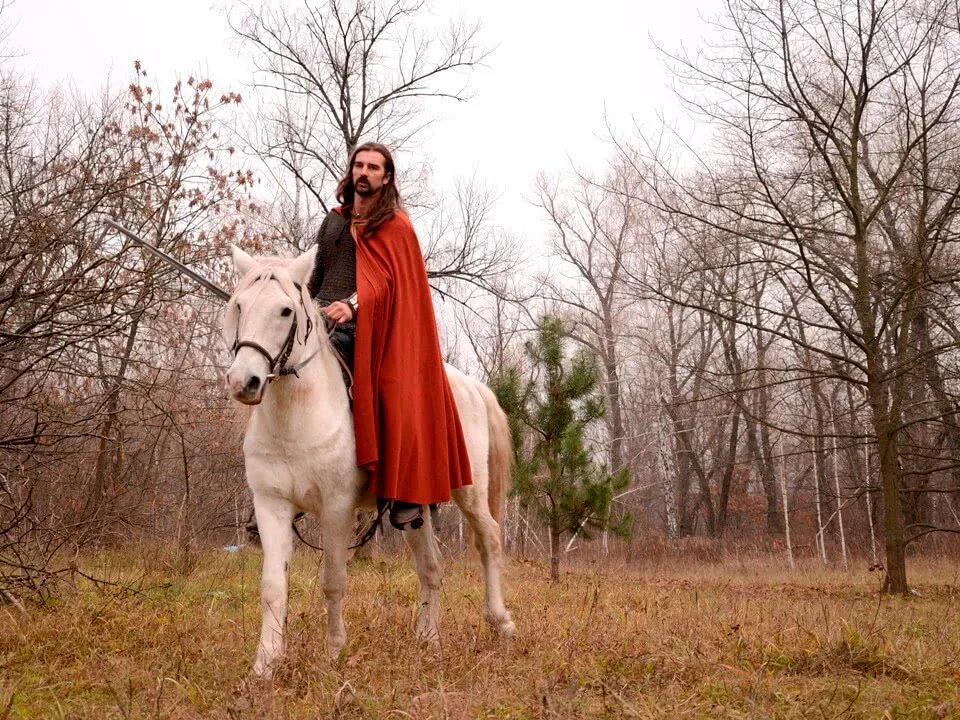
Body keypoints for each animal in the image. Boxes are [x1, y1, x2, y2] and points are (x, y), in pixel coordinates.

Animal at [223, 246, 516, 676]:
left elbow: (333, 580)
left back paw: (500, 621)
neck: (297, 415)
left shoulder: (336, 507)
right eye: (240, 305)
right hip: (416, 506)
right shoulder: (271, 505)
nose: (244, 382)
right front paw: (265, 665)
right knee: (431, 567)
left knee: (489, 538)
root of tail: (471, 386)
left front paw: (334, 653)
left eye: (285, 311)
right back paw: (428, 639)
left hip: (470, 489)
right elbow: (273, 587)